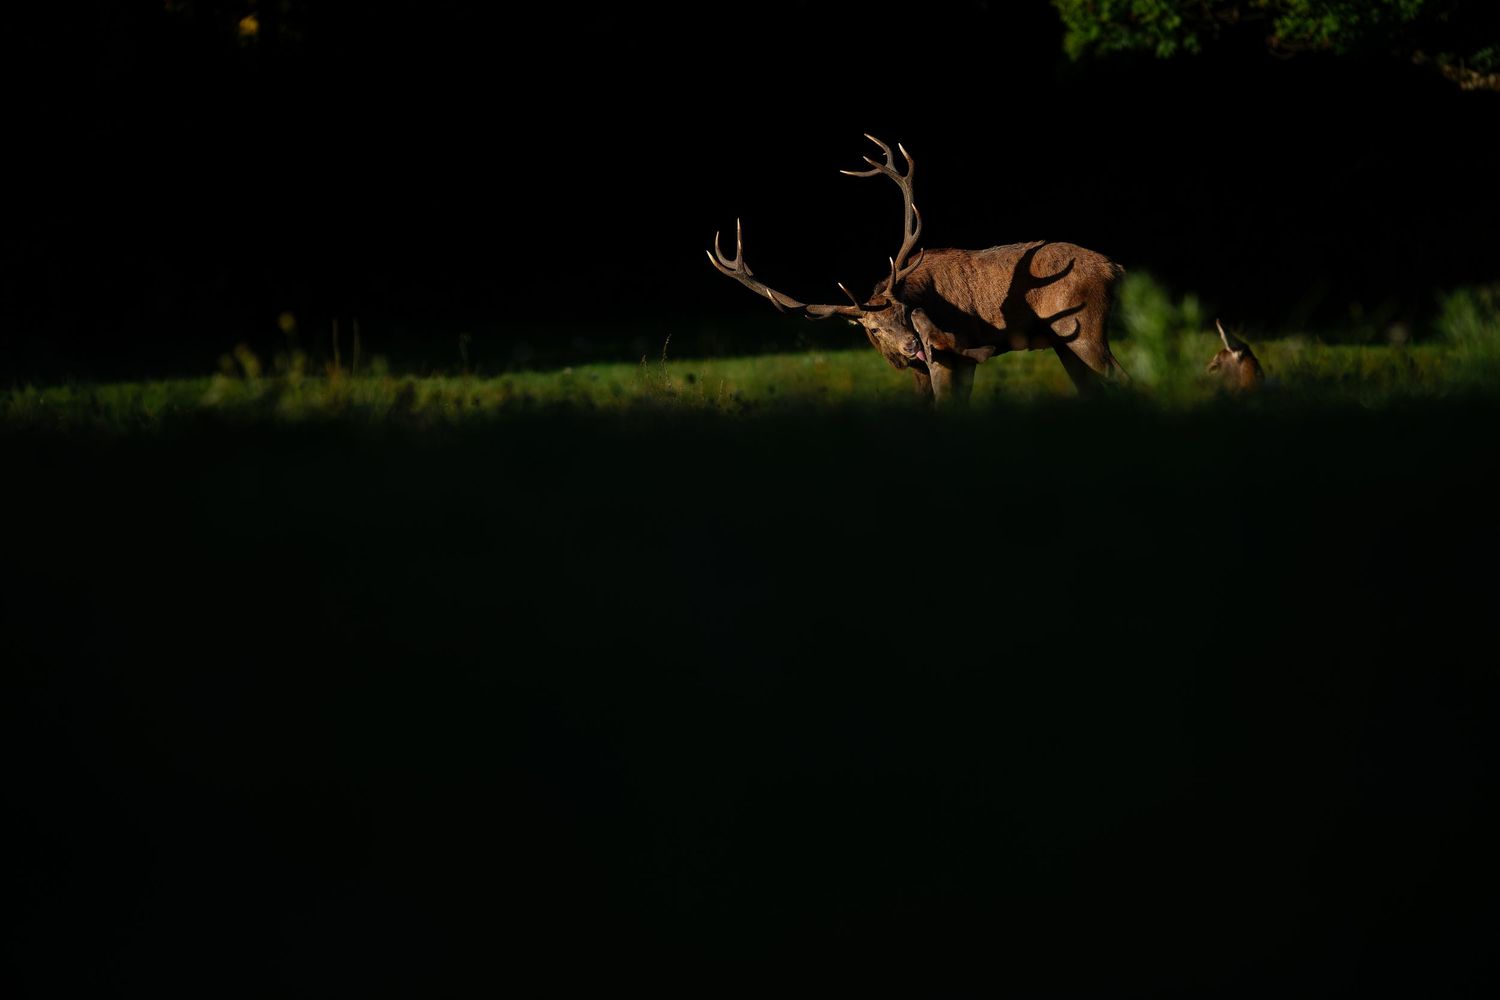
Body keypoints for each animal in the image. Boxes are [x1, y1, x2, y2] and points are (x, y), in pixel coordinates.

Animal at [708, 135, 1128, 405]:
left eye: (905, 312)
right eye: (874, 328)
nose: (912, 345)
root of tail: (1115, 268)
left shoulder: (951, 353)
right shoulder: (924, 366)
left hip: (1083, 329)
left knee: (1121, 378)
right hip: (1063, 341)